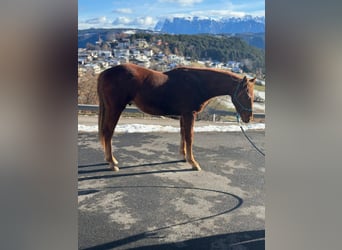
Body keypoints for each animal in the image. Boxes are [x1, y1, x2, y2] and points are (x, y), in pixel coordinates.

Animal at [97, 63, 255, 171]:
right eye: (247, 96)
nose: (248, 118)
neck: (199, 84)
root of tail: (105, 73)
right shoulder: (189, 114)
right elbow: (189, 137)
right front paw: (193, 163)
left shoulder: (183, 115)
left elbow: (183, 134)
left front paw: (184, 156)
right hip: (115, 109)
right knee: (108, 132)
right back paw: (112, 163)